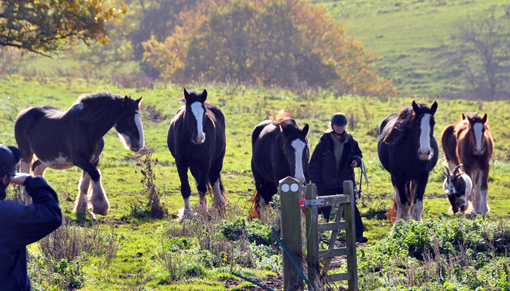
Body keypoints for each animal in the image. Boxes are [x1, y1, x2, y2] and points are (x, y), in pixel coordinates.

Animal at [14, 92, 144, 218]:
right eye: (130, 118)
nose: (139, 144)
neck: (87, 128)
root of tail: (22, 113)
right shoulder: (80, 160)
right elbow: (95, 174)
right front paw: (101, 207)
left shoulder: (93, 160)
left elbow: (85, 184)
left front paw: (82, 210)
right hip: (26, 154)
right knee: (26, 172)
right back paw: (26, 202)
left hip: (47, 158)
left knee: (36, 167)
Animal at [167, 88, 227, 220]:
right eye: (189, 111)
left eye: (204, 112)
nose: (199, 137)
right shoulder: (181, 163)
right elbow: (186, 188)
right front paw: (187, 213)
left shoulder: (205, 162)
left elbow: (202, 188)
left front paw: (203, 213)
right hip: (194, 165)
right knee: (199, 180)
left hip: (217, 160)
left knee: (214, 178)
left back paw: (220, 204)